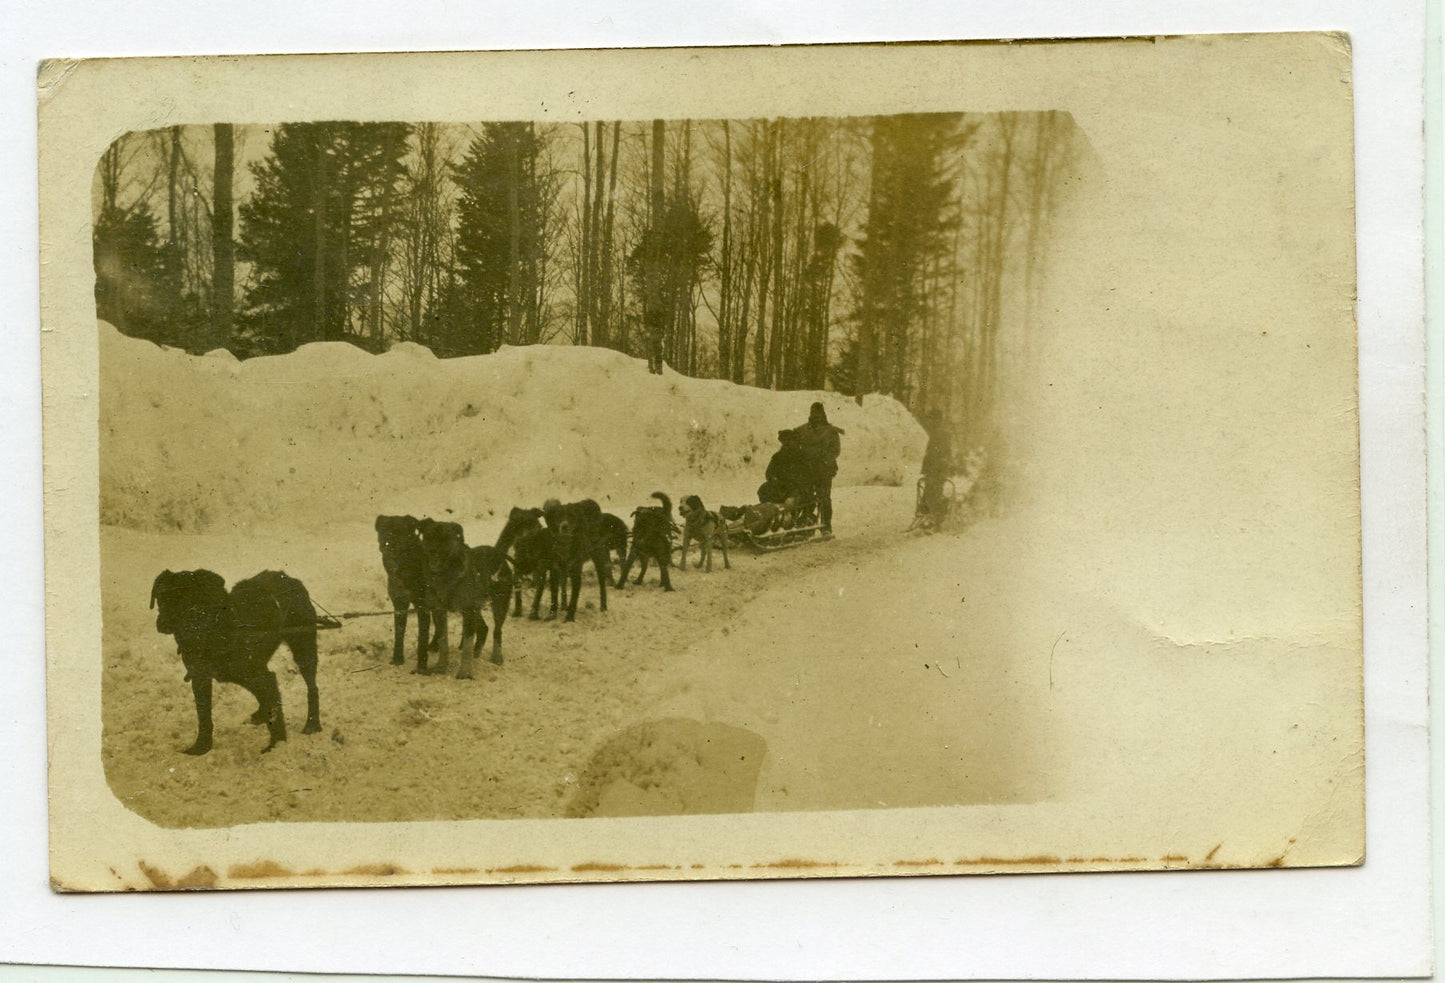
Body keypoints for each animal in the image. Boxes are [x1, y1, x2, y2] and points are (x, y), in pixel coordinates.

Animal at [372, 514, 427, 667]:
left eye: (400, 530)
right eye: (383, 530)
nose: (387, 543)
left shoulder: (422, 605)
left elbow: (422, 636)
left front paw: (422, 665)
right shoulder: (399, 604)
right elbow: (399, 632)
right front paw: (397, 658)